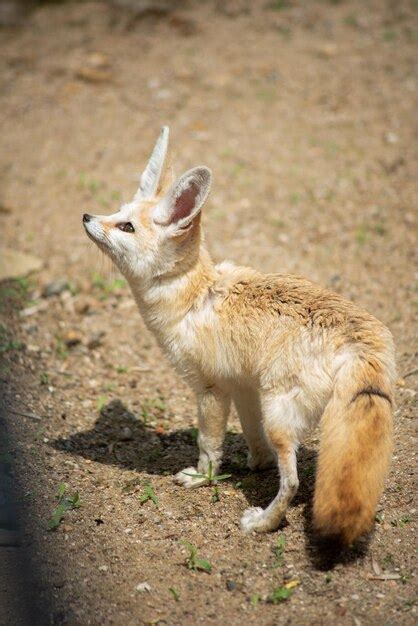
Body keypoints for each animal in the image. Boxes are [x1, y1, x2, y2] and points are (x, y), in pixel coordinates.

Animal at [84, 125, 396, 540]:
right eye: (118, 212)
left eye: (126, 227)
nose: (86, 216)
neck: (193, 294)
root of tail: (364, 339)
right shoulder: (244, 388)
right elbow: (252, 435)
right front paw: (256, 463)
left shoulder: (210, 389)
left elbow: (207, 443)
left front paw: (203, 477)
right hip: (274, 407)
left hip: (279, 416)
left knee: (293, 482)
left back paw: (264, 521)